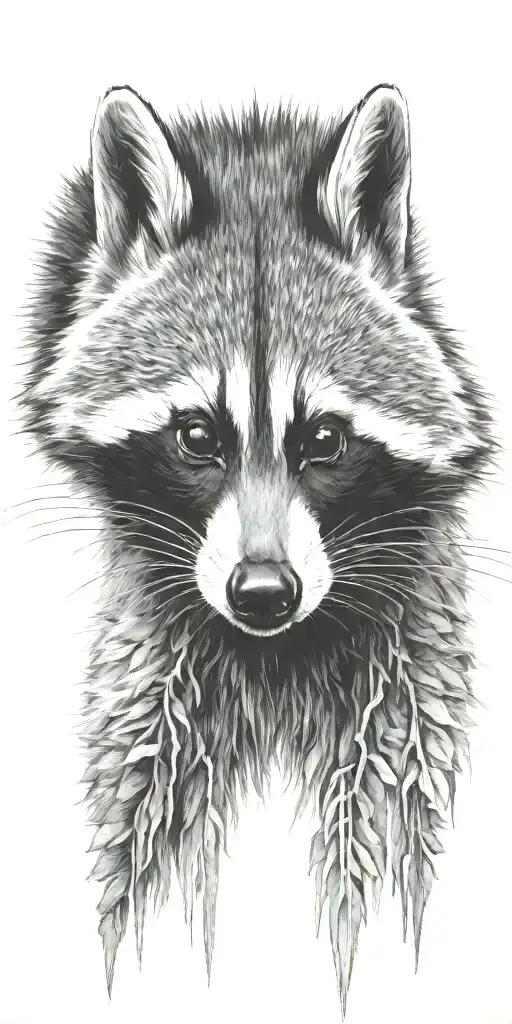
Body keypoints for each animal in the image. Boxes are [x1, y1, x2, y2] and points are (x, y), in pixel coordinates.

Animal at [20, 83, 494, 1014]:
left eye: (324, 441)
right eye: (198, 436)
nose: (265, 593)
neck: (274, 659)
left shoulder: (403, 703)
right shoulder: (153, 705)